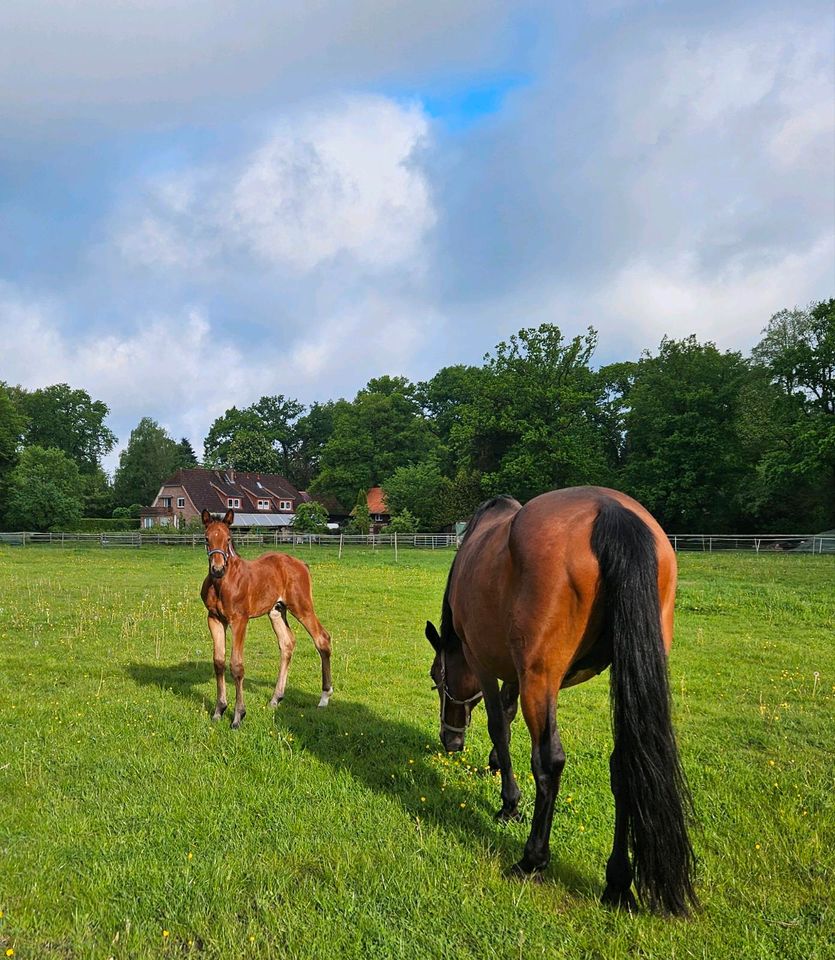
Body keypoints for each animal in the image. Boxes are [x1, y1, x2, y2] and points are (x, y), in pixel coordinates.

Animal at [202, 510, 334, 728]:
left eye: (228, 538)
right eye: (206, 539)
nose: (217, 569)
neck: (223, 583)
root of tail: (302, 564)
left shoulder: (240, 620)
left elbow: (236, 665)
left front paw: (238, 716)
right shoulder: (214, 619)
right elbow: (219, 662)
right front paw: (219, 711)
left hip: (302, 607)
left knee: (322, 639)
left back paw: (324, 697)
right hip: (276, 611)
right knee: (287, 643)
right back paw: (275, 698)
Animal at [424, 488, 700, 916]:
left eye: (437, 678)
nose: (450, 741)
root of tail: (611, 512)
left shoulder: (484, 663)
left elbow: (499, 725)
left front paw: (509, 804)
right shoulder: (515, 672)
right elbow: (507, 716)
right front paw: (495, 766)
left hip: (542, 678)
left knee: (549, 763)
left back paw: (532, 859)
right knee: (625, 765)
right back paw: (618, 881)